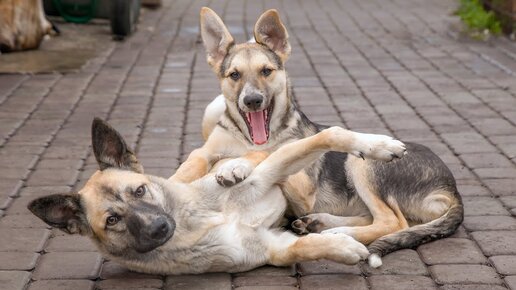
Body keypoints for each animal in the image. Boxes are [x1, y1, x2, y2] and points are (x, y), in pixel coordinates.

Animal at [27, 118, 408, 274]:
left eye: (139, 190)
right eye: (112, 220)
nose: (158, 229)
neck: (197, 220)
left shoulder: (272, 171)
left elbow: (330, 135)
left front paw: (377, 144)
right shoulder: (272, 249)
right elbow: (303, 249)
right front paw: (342, 248)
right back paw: (328, 226)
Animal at [171, 7, 466, 268]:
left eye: (266, 71)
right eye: (234, 75)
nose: (252, 100)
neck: (248, 138)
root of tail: (451, 188)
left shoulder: (303, 190)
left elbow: (268, 152)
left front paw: (235, 165)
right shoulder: (208, 150)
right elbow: (194, 162)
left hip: (360, 164)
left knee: (392, 221)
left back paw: (339, 233)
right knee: (384, 219)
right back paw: (320, 223)